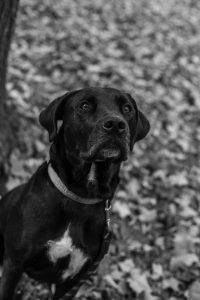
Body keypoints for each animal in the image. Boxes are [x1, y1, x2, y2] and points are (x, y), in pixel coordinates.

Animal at [0, 86, 149, 298]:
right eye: (84, 106)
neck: (79, 195)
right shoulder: (14, 264)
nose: (116, 125)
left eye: (127, 108)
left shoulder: (76, 278)